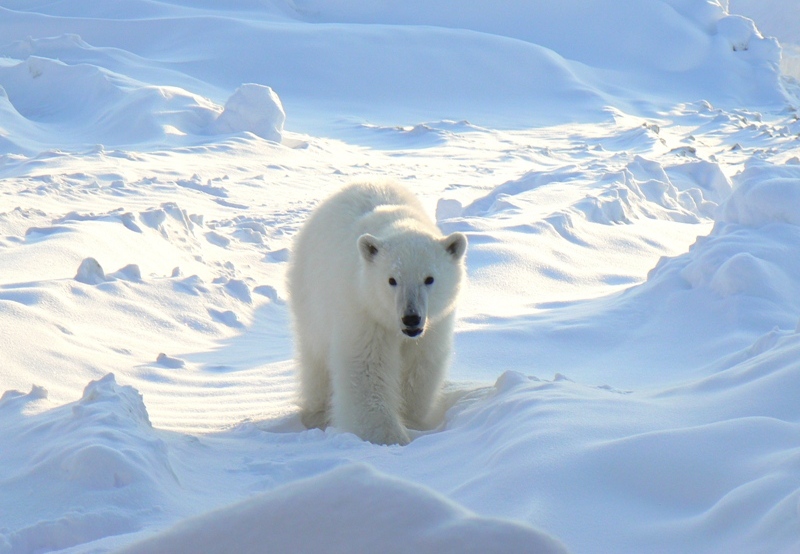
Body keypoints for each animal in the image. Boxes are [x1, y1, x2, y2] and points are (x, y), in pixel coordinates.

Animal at [288, 181, 466, 444]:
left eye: (429, 278)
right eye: (392, 280)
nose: (411, 318)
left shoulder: (435, 322)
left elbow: (419, 366)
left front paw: (412, 422)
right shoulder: (363, 311)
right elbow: (366, 368)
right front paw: (389, 436)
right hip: (309, 295)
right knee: (315, 356)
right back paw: (316, 414)